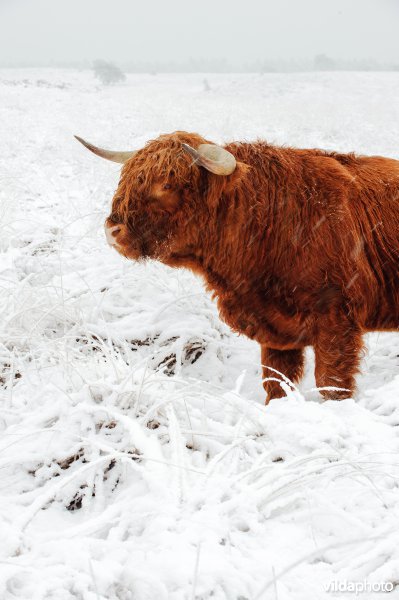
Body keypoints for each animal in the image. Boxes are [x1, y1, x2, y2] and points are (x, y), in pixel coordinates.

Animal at [76, 131, 399, 404]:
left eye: (166, 184)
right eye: (128, 178)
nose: (112, 230)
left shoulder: (336, 320)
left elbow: (331, 384)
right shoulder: (278, 331)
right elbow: (276, 382)